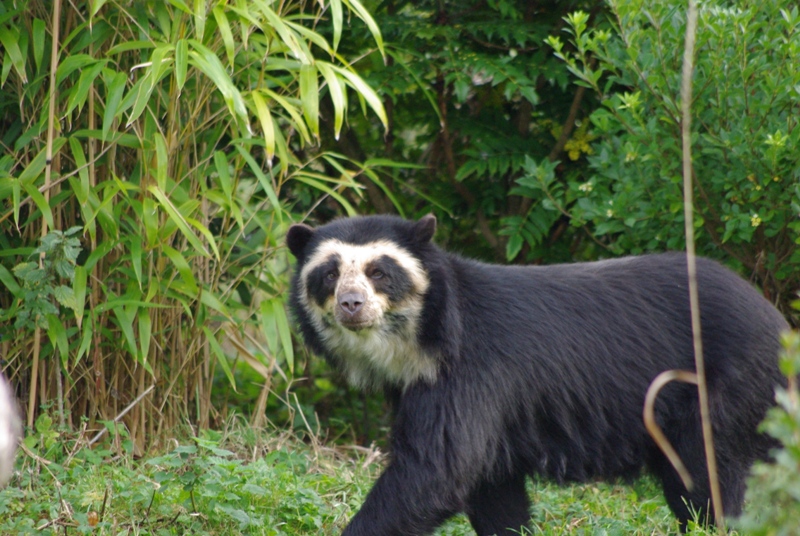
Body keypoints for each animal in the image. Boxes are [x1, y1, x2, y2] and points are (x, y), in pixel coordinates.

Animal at [286, 213, 788, 535]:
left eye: (379, 272)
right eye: (329, 274)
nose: (351, 304)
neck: (418, 342)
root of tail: (779, 324)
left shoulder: (468, 374)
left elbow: (435, 470)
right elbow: (491, 488)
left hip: (725, 386)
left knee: (705, 478)